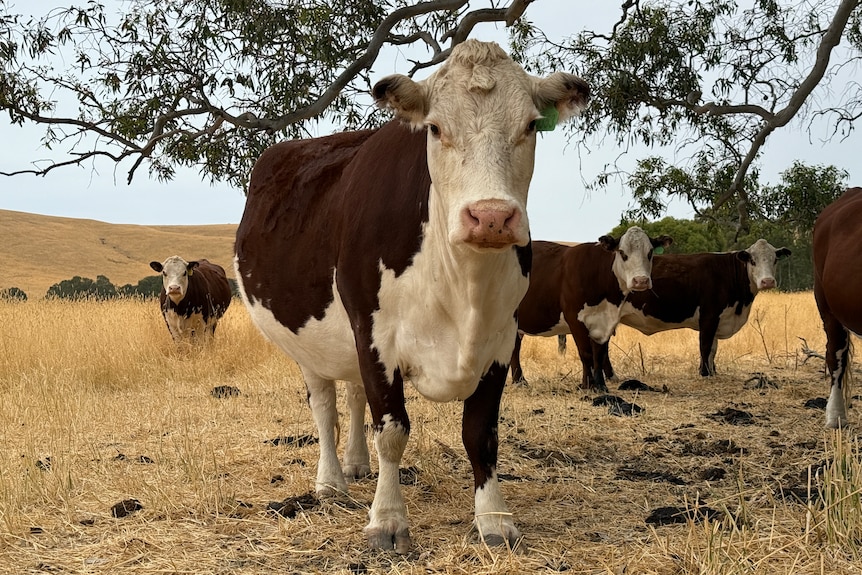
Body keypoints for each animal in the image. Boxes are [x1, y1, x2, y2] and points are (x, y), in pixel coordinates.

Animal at [233, 39, 589, 552]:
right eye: (436, 128)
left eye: (529, 126)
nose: (490, 217)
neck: (462, 288)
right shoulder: (375, 337)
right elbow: (392, 431)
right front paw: (387, 521)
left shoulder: (500, 342)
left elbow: (481, 435)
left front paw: (494, 520)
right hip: (308, 342)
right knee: (324, 406)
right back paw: (331, 483)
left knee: (353, 397)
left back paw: (356, 464)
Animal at [510, 227, 673, 391]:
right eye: (622, 252)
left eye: (650, 252)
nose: (641, 281)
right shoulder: (575, 319)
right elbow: (586, 353)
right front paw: (587, 384)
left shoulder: (606, 322)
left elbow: (599, 355)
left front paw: (600, 385)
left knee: (514, 348)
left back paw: (519, 381)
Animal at [587, 239, 791, 379]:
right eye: (753, 261)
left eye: (774, 260)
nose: (767, 281)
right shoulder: (709, 315)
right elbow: (705, 346)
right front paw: (705, 373)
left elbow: (713, 349)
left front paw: (712, 372)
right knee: (602, 346)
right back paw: (612, 376)